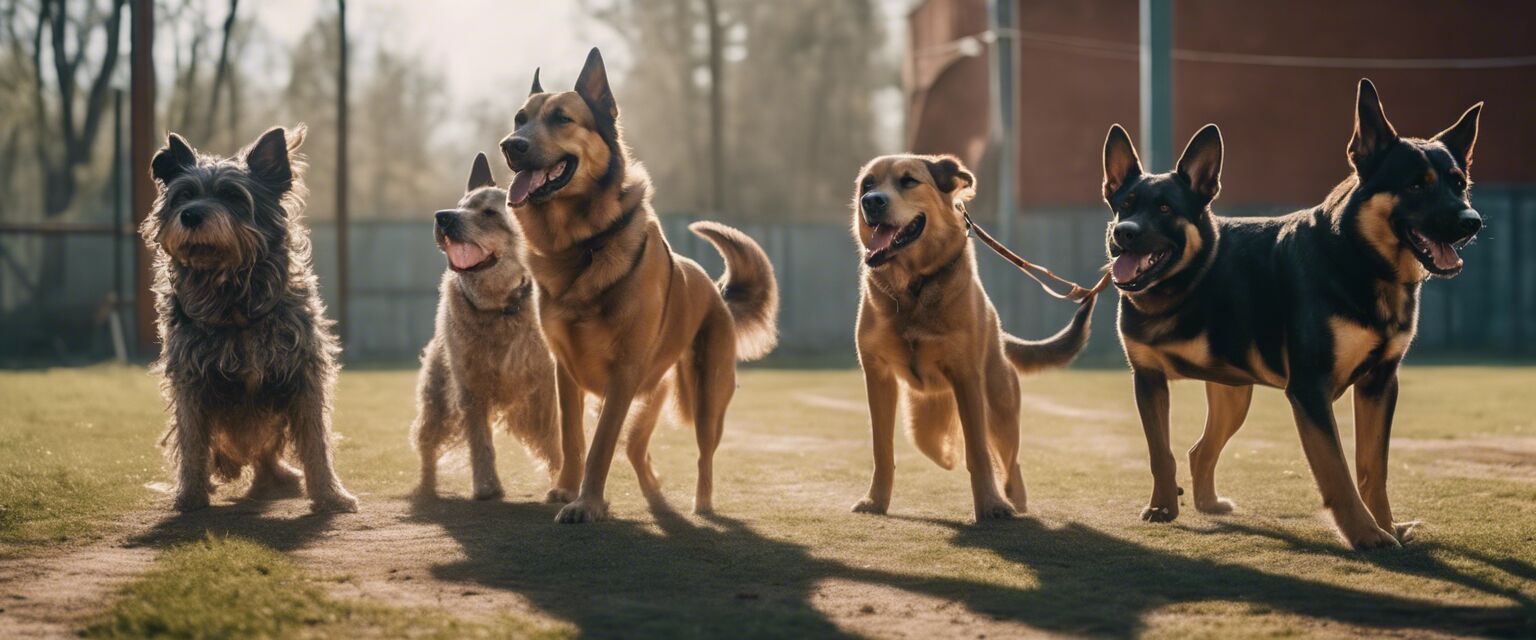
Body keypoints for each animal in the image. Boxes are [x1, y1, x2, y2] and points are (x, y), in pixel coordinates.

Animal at [408, 153, 565, 497]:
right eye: (460, 205)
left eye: (490, 213)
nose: (443, 217)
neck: (500, 308)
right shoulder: (470, 387)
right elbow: (481, 442)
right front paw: (486, 486)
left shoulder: (550, 387)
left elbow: (559, 439)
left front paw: (563, 483)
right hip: (438, 399)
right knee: (426, 443)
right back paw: (427, 485)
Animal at [497, 48, 780, 518]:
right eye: (519, 119)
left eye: (562, 118)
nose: (510, 146)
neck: (584, 244)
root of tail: (716, 294)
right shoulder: (565, 374)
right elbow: (573, 440)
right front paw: (567, 489)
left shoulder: (623, 375)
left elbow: (600, 446)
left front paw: (587, 503)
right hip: (651, 399)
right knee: (637, 450)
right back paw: (656, 499)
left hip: (705, 400)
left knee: (703, 455)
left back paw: (701, 506)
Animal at [854, 153, 1093, 518]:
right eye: (867, 184)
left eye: (909, 181)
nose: (871, 201)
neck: (912, 290)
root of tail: (1001, 336)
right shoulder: (878, 376)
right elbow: (882, 448)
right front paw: (876, 500)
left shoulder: (966, 378)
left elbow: (978, 451)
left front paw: (991, 505)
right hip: (925, 415)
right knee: (932, 442)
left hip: (1000, 411)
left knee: (1009, 461)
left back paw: (1014, 499)